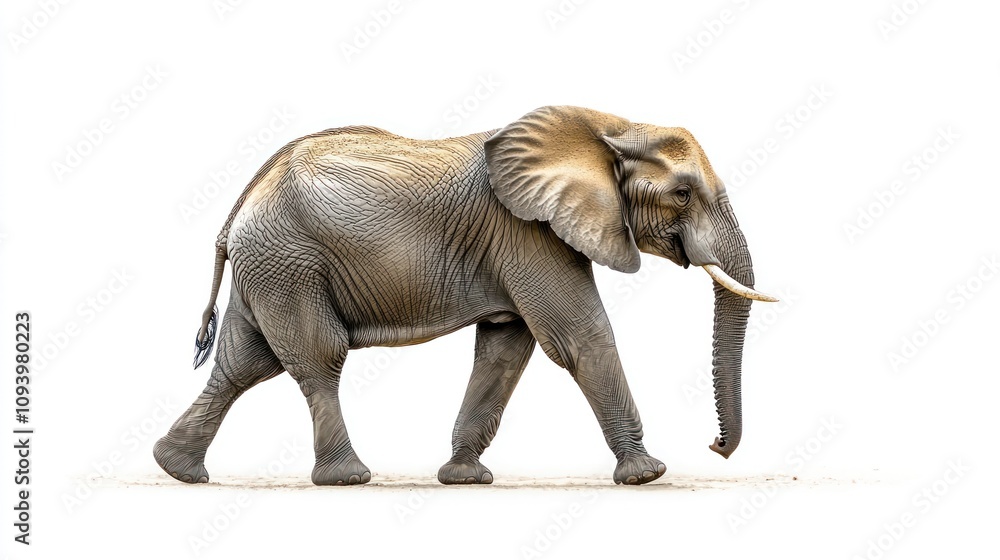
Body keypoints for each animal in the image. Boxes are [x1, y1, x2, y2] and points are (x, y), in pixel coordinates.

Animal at [154, 105, 777, 487]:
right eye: (683, 193)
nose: (716, 446)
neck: (610, 125)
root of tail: (247, 194)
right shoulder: (529, 233)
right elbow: (579, 338)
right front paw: (647, 474)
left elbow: (506, 349)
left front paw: (464, 478)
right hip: (290, 262)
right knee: (316, 358)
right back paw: (348, 478)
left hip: (269, 267)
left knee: (244, 362)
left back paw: (178, 469)